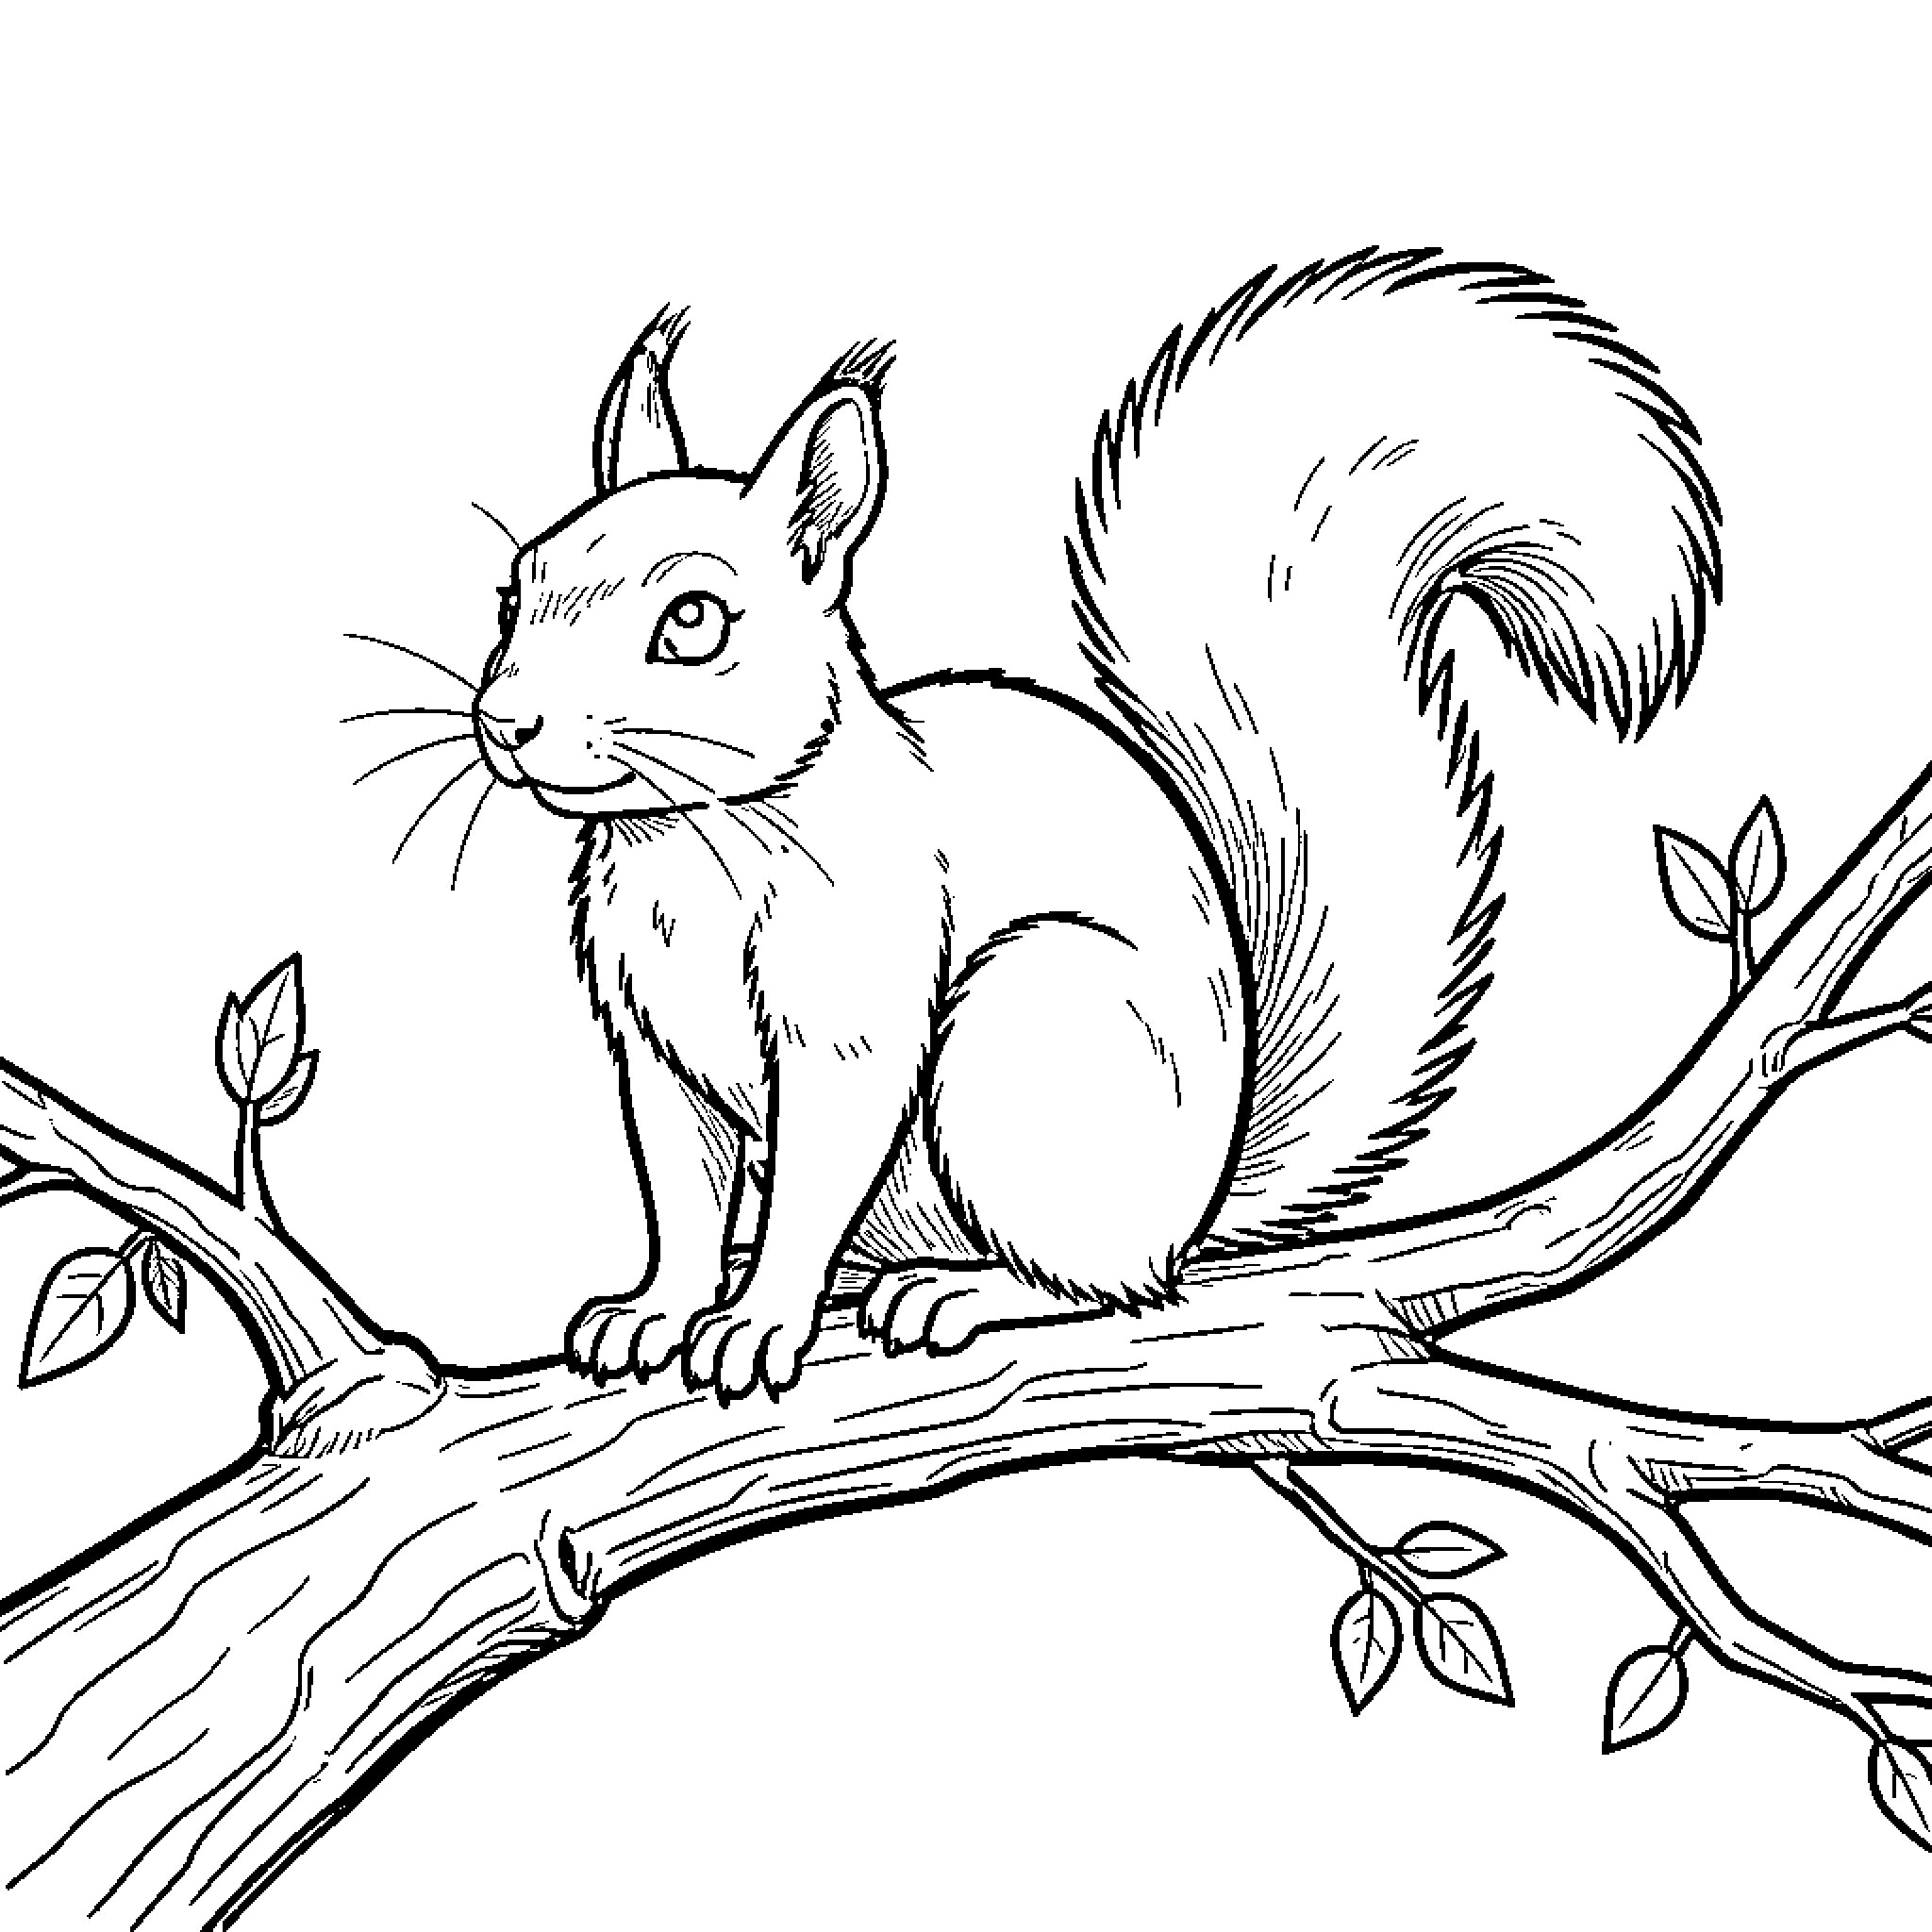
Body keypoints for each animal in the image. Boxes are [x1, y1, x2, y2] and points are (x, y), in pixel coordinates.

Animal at [468, 247, 1719, 1400]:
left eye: (693, 621)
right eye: (512, 591)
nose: (505, 721)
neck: (691, 842)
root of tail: (1194, 1201)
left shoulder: (852, 1003)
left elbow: (820, 1165)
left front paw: (760, 1319)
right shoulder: (647, 1033)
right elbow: (675, 1182)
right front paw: (658, 1304)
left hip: (1028, 1031)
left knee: (1103, 1282)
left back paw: (962, 1289)